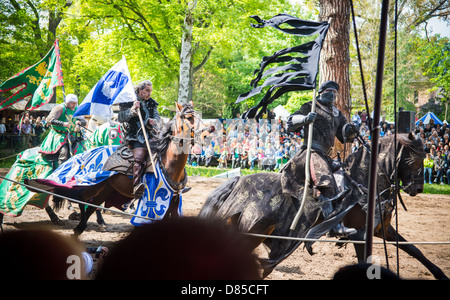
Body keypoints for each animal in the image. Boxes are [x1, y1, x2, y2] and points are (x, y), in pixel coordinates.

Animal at [26, 102, 199, 236]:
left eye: (197, 117)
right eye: (187, 118)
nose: (199, 136)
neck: (167, 161)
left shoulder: (173, 200)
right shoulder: (153, 200)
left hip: (105, 189)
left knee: (90, 204)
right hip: (92, 185)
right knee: (81, 199)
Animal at [201, 132, 450, 280]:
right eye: (414, 160)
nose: (417, 188)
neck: (365, 180)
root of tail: (237, 181)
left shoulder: (383, 230)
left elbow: (414, 250)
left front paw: (441, 275)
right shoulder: (360, 235)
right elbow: (365, 260)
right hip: (252, 231)